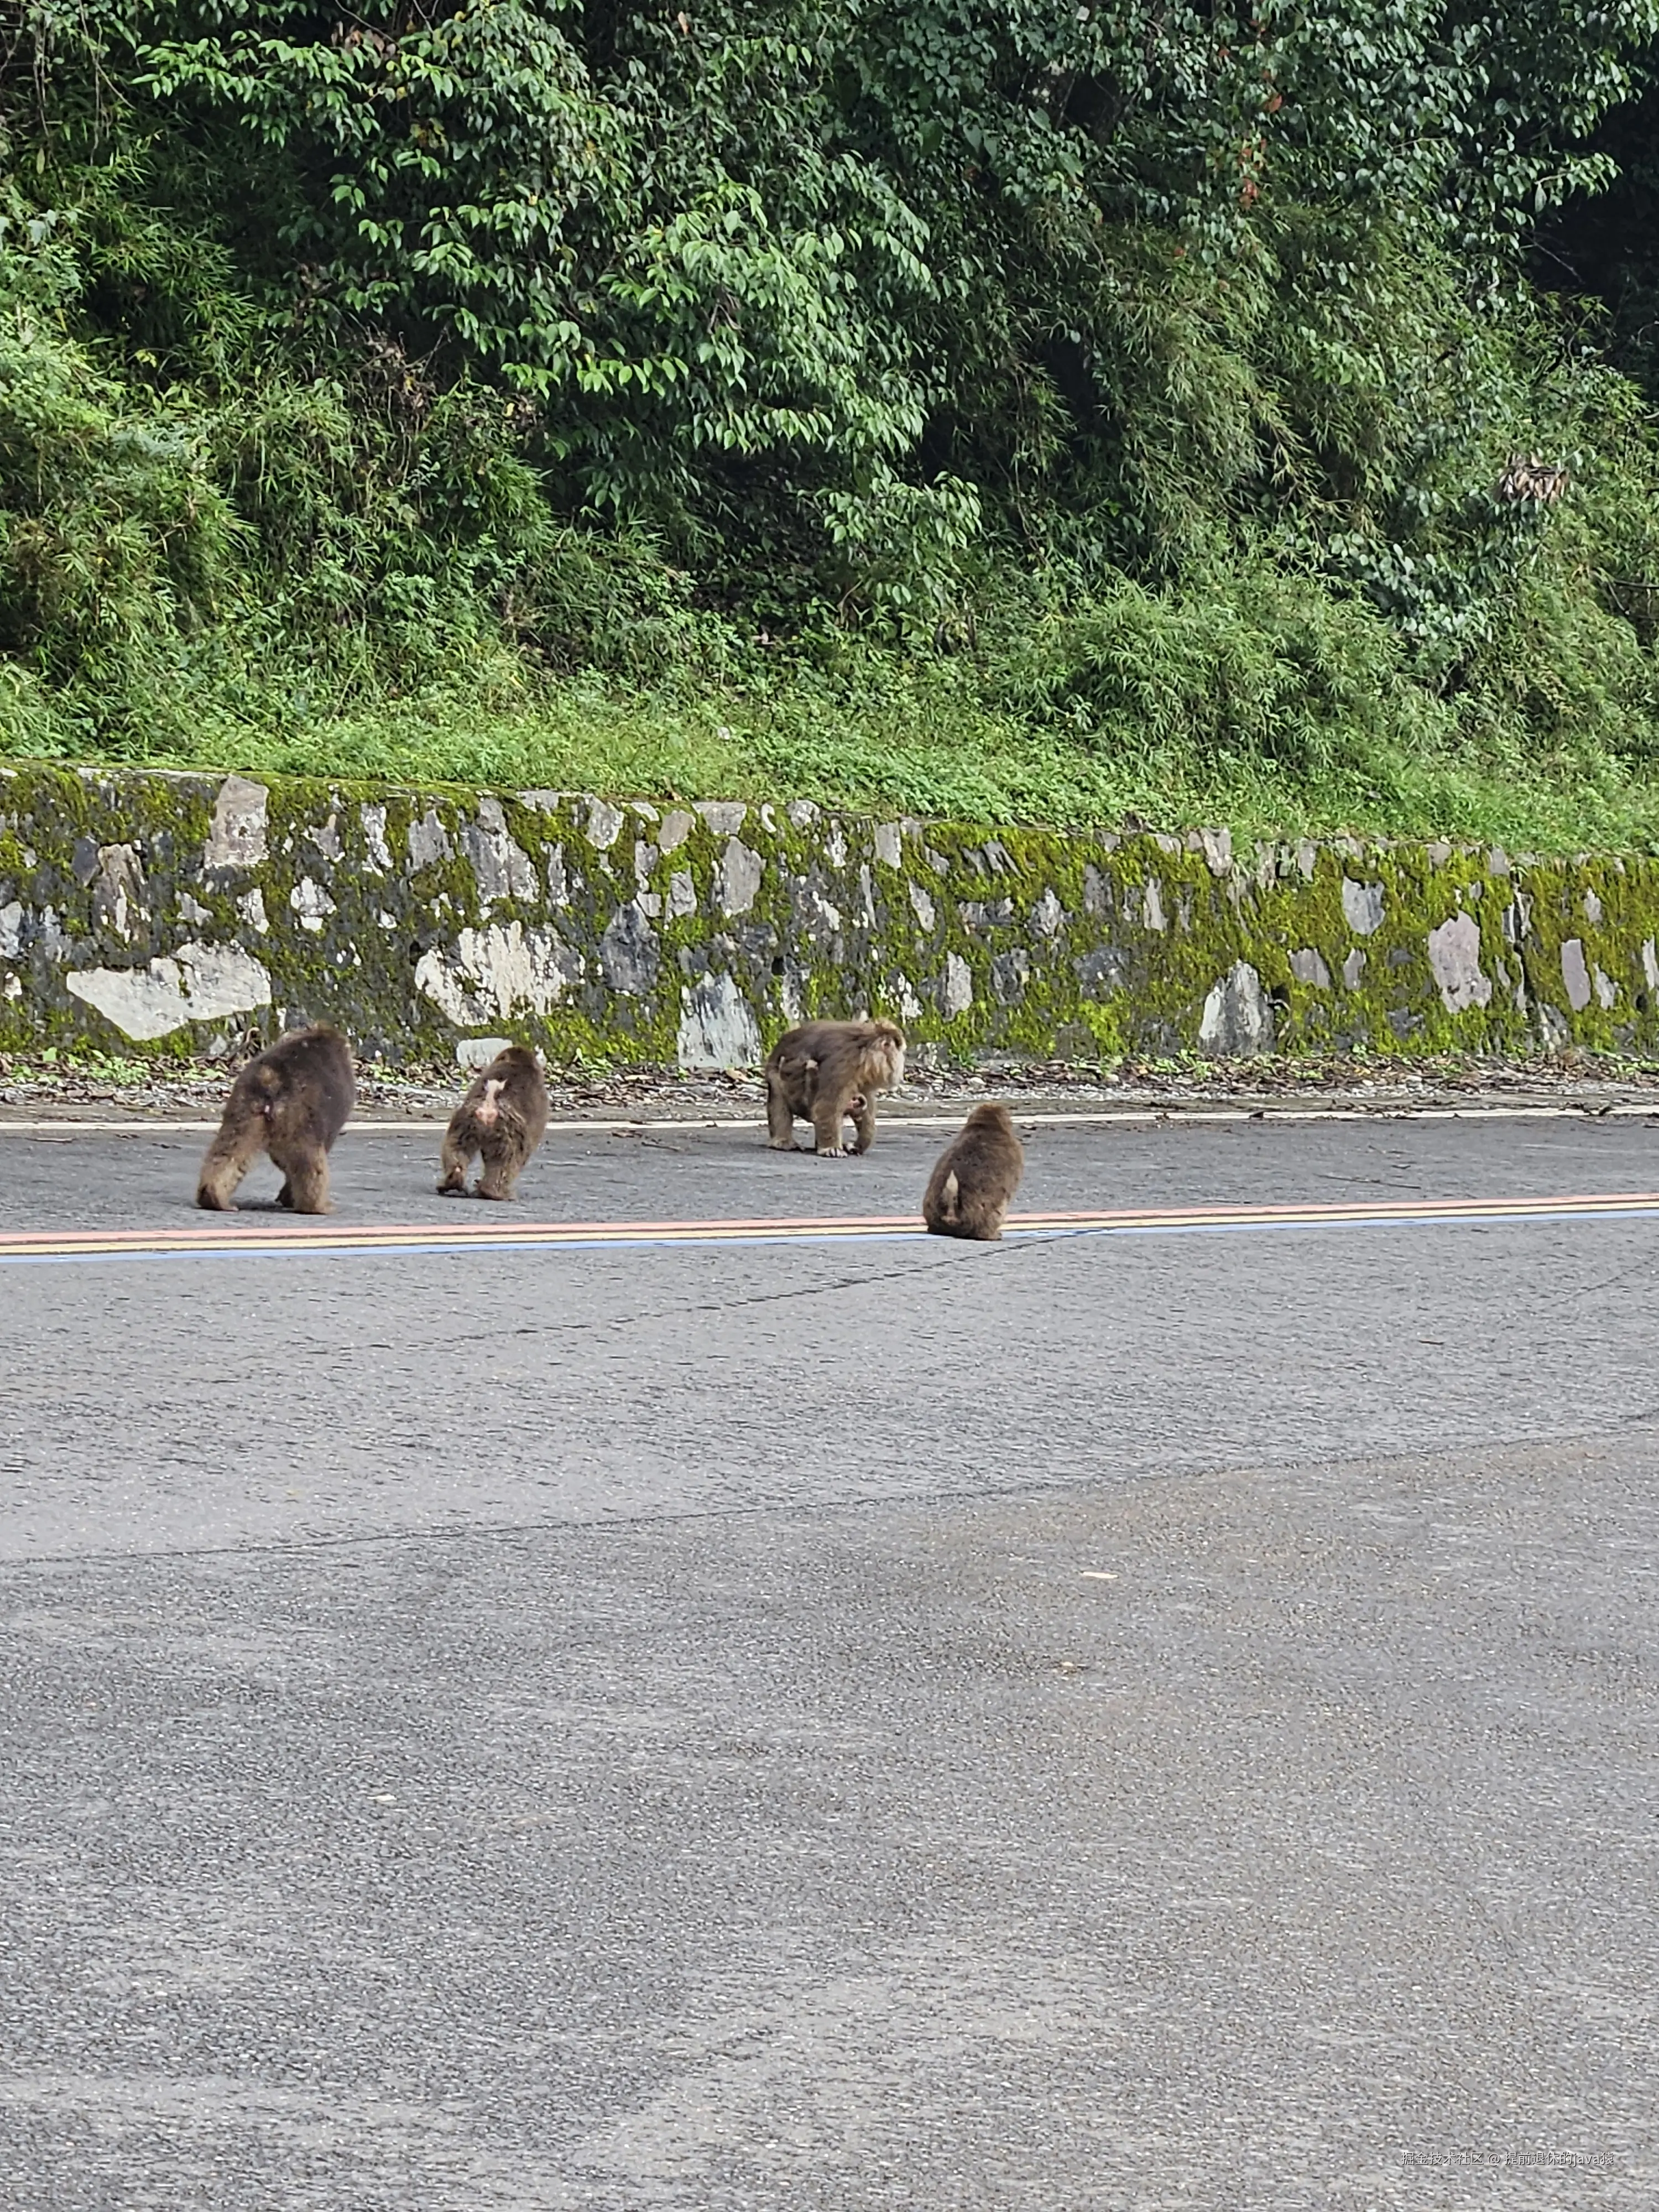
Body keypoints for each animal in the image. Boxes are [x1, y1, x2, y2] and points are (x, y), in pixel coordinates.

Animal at [196, 1025, 356, 1214]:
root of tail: (270, 1080)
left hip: (243, 1110)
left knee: (229, 1150)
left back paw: (214, 1198)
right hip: (301, 1116)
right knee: (309, 1160)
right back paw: (318, 1206)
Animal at [437, 1044, 549, 1200]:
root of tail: (488, 1106)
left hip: (465, 1123)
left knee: (456, 1147)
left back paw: (452, 1181)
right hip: (508, 1132)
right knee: (505, 1161)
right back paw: (494, 1192)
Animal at [764, 1018, 905, 1156]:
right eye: (898, 1050)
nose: (901, 1061)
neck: (866, 1048)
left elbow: (867, 1100)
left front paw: (859, 1144)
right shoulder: (846, 1062)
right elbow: (828, 1104)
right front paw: (832, 1148)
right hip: (776, 1073)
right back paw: (784, 1142)